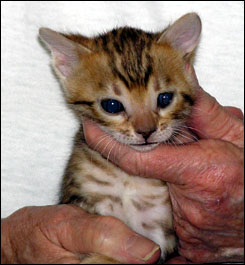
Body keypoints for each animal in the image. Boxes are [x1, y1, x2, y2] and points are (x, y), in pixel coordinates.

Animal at [39, 12, 201, 262]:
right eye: (112, 105)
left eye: (164, 99)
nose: (146, 131)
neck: (128, 179)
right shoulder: (84, 201)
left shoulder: (163, 231)